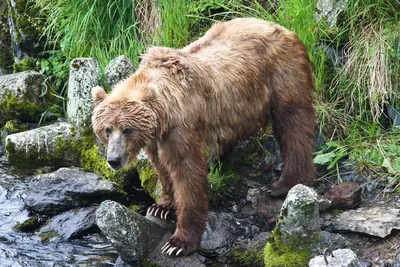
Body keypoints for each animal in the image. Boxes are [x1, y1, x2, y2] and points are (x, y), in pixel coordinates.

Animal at [91, 18, 316, 258]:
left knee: (293, 124)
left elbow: (186, 173)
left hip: (282, 75)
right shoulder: (154, 138)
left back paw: (285, 183)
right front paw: (161, 205)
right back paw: (215, 159)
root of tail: (282, 27)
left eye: (127, 129)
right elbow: (161, 166)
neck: (163, 115)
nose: (114, 160)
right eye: (107, 129)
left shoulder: (180, 129)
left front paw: (178, 243)